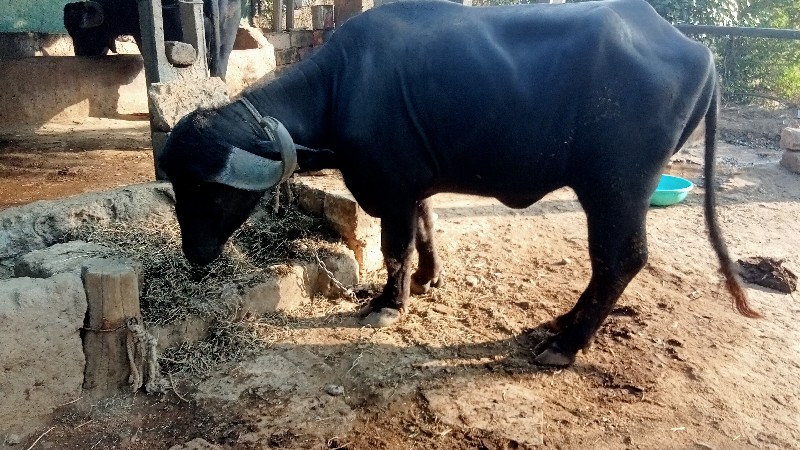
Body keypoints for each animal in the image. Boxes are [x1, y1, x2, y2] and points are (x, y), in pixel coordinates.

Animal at [158, 0, 764, 368]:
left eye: (211, 191)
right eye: (179, 189)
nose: (196, 254)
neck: (341, 87)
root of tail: (699, 51)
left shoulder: (394, 190)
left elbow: (395, 248)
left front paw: (389, 303)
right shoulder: (416, 188)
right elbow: (427, 233)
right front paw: (429, 280)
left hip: (617, 186)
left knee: (621, 260)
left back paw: (564, 345)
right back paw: (562, 324)